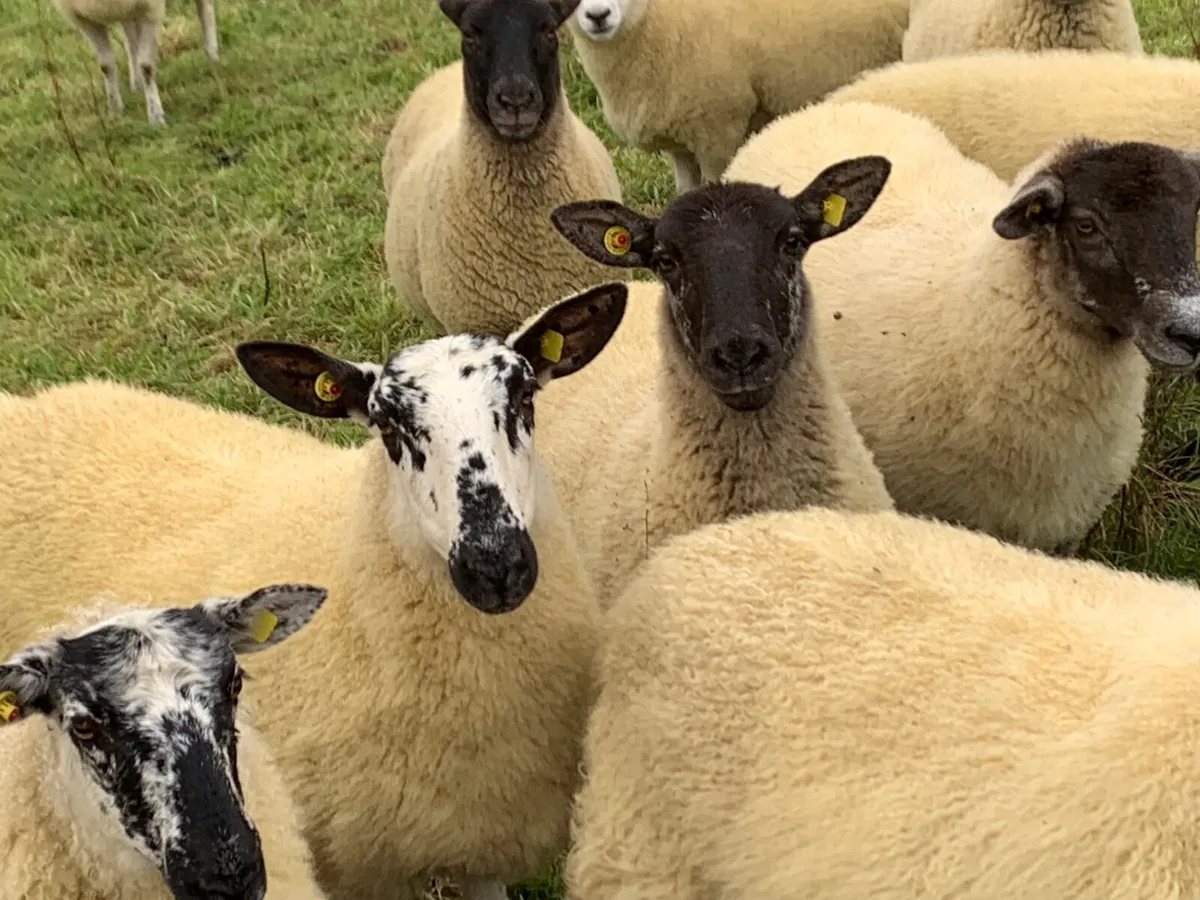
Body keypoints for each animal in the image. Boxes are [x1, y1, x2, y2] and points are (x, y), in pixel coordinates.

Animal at [53, 0, 218, 126]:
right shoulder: (85, 20)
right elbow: (106, 66)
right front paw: (115, 109)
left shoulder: (151, 10)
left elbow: (146, 66)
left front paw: (155, 116)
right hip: (126, 11)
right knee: (131, 41)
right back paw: (136, 84)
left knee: (206, 8)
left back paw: (213, 56)